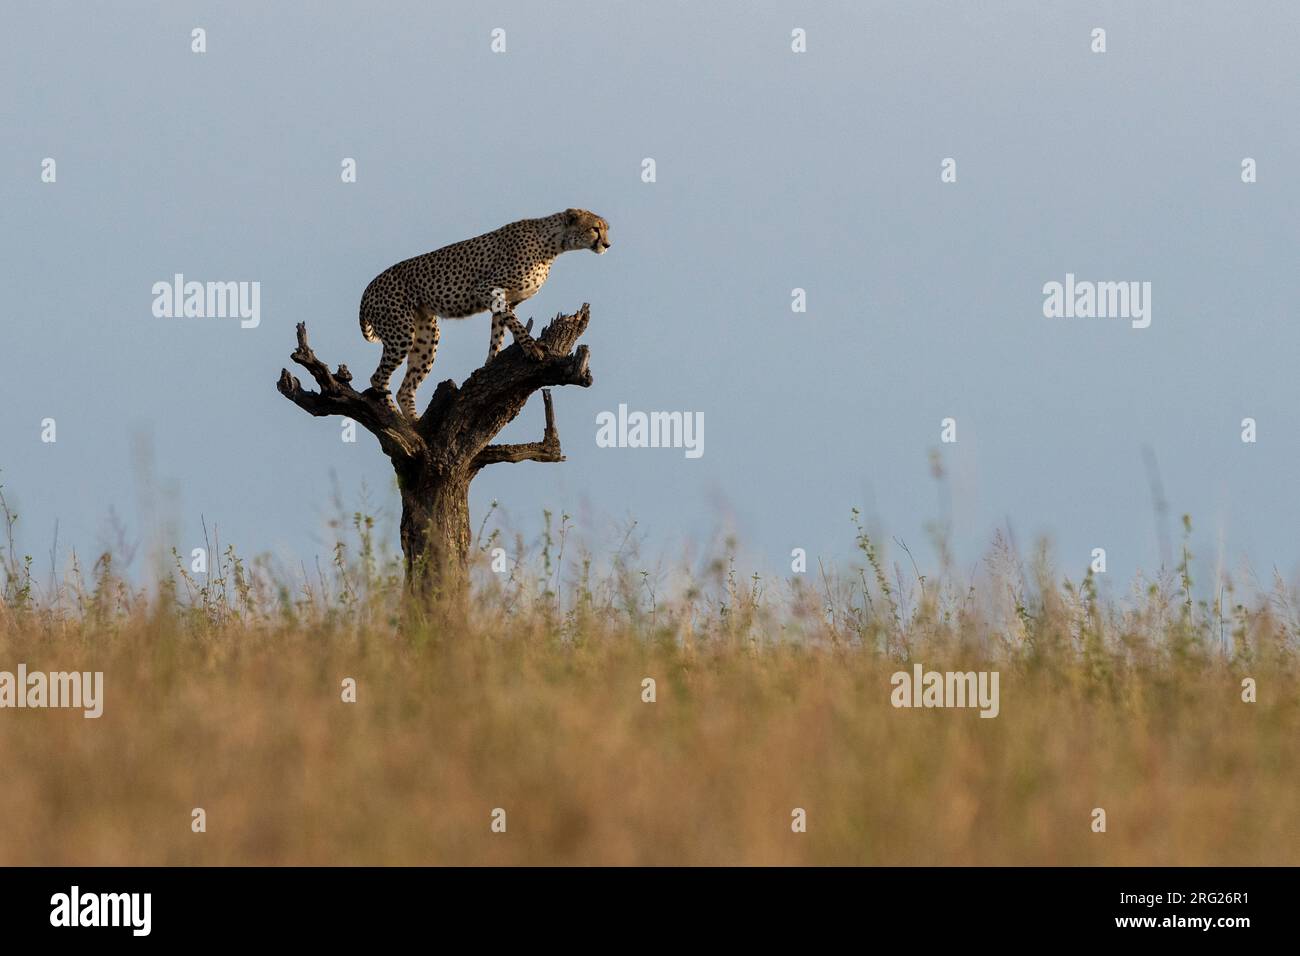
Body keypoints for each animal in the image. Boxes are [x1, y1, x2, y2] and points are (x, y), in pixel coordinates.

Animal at [358, 209, 611, 418]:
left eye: (605, 229)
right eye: (595, 228)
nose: (607, 244)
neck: (554, 244)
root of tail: (368, 288)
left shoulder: (505, 300)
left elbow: (499, 332)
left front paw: (489, 363)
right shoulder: (486, 289)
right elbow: (516, 324)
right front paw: (532, 348)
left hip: (427, 335)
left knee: (404, 389)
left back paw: (415, 427)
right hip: (401, 332)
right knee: (378, 378)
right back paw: (395, 419)